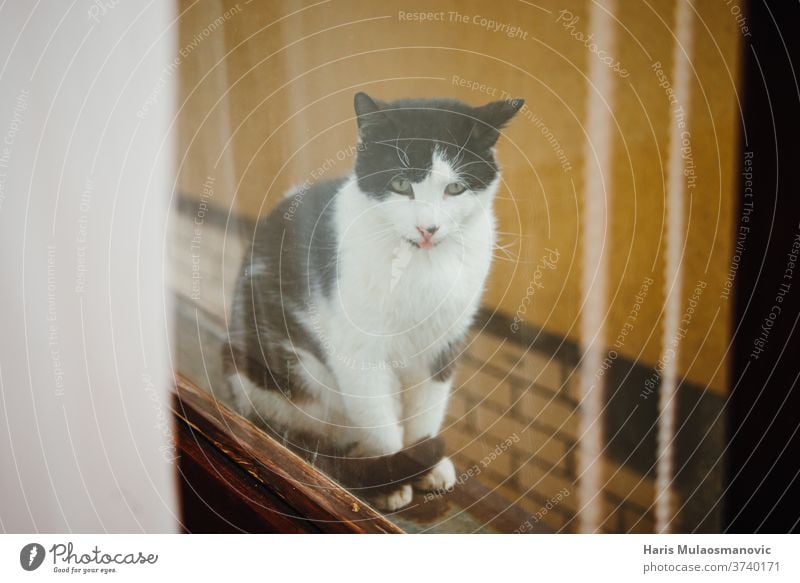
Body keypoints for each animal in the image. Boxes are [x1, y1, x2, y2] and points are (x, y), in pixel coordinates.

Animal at [223, 92, 524, 512]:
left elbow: (428, 406)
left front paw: (424, 463)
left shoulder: (443, 341)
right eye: (400, 184)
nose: (427, 228)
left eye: (455, 189)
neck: (419, 265)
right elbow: (378, 416)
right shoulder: (358, 349)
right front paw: (393, 477)